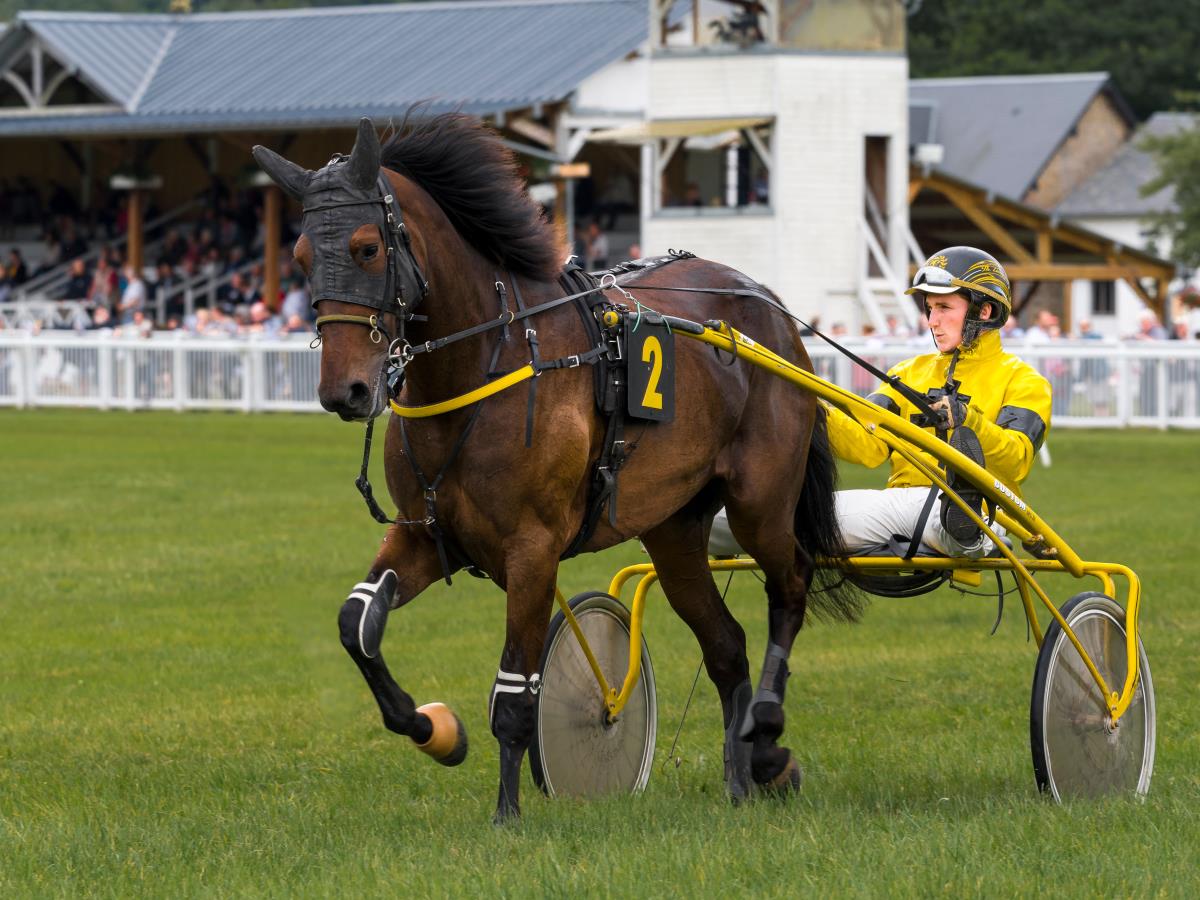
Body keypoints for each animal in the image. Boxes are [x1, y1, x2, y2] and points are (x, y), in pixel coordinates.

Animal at [253, 112, 864, 825]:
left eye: (366, 248)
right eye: (299, 258)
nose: (343, 391)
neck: (485, 363)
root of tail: (765, 302)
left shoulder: (532, 549)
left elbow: (515, 690)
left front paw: (506, 814)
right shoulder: (424, 535)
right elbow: (357, 624)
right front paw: (434, 729)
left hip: (759, 502)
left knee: (790, 583)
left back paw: (766, 743)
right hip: (673, 530)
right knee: (726, 646)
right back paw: (742, 776)